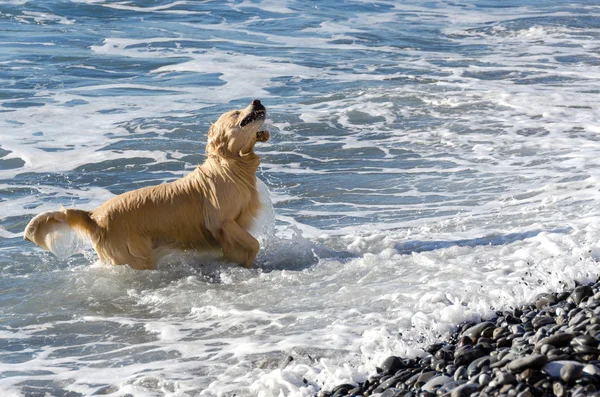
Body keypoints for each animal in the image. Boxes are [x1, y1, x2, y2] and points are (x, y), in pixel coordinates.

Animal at [23, 99, 270, 270]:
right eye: (235, 112)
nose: (257, 101)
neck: (231, 165)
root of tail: (94, 216)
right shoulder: (220, 221)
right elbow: (253, 244)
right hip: (134, 256)